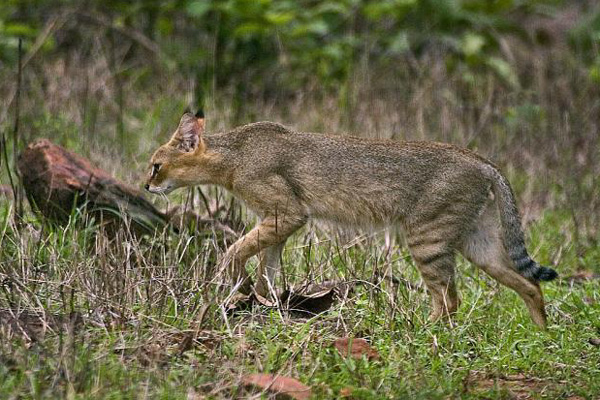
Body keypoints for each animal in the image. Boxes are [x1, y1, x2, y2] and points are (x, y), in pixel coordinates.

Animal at [145, 111, 556, 328]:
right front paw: (263, 304)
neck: (234, 156)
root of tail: (482, 160)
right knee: (530, 285)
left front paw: (234, 283)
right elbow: (267, 268)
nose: (146, 185)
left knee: (449, 300)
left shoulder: (287, 214)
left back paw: (421, 333)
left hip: (427, 239)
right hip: (477, 243)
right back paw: (543, 335)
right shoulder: (278, 224)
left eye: (156, 165)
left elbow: (236, 249)